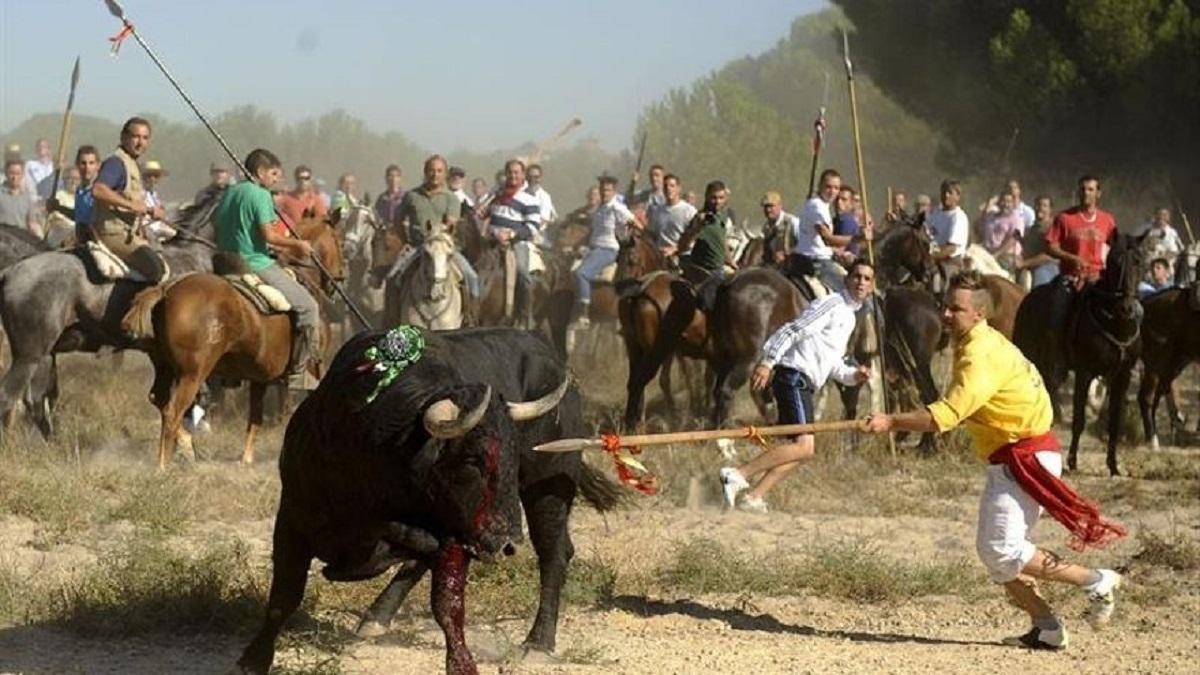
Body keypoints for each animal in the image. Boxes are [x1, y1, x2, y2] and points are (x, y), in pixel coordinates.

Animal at [127, 216, 343, 468]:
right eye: (338, 239)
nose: (340, 276)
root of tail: (165, 290)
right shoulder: (312, 369)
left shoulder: (261, 377)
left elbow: (255, 418)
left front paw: (246, 459)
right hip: (192, 374)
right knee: (173, 410)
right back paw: (163, 465)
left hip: (165, 367)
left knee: (159, 400)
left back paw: (186, 450)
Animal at [238, 326, 624, 672]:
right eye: (473, 460)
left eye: (514, 457)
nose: (507, 541)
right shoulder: (292, 517)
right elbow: (284, 596)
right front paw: (254, 658)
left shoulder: (455, 534)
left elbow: (446, 601)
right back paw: (376, 616)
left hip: (547, 493)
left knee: (554, 553)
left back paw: (538, 643)